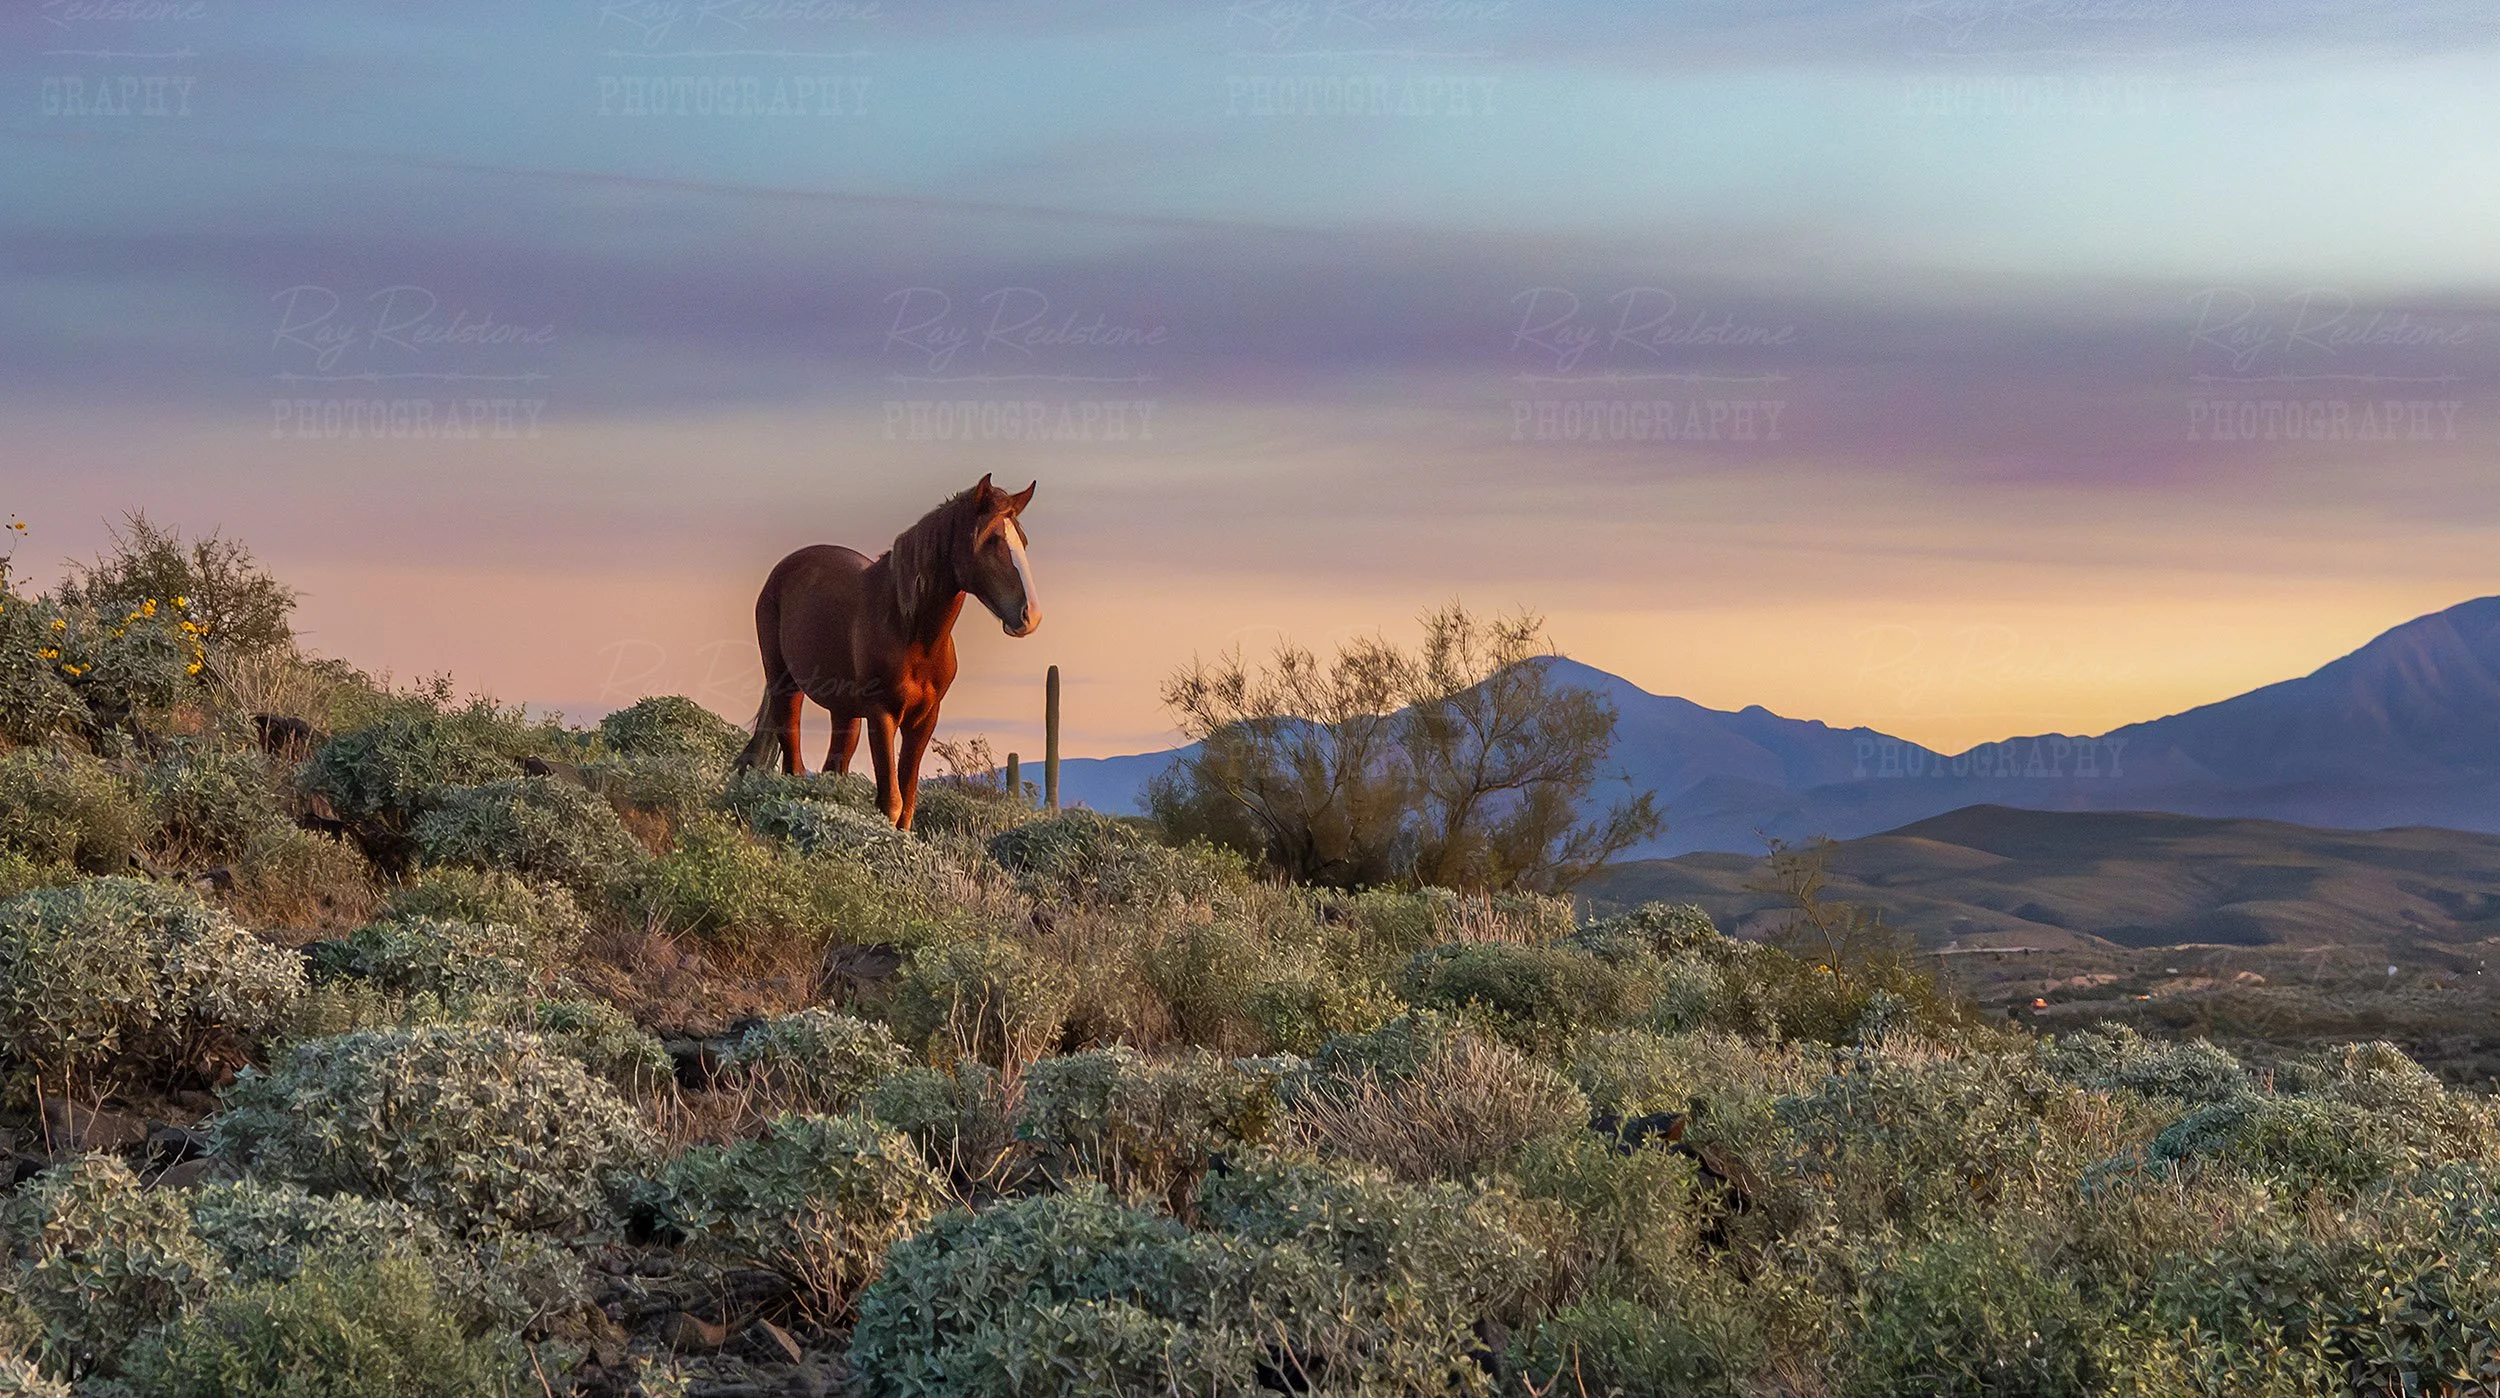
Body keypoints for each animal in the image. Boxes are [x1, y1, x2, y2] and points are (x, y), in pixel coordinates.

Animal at [735, 474, 1040, 829]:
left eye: (1023, 541)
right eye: (991, 539)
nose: (1030, 615)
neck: (911, 632)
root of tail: (783, 570)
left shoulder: (924, 720)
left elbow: (906, 807)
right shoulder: (882, 716)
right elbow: (891, 804)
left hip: (845, 713)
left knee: (832, 769)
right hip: (786, 686)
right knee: (793, 764)